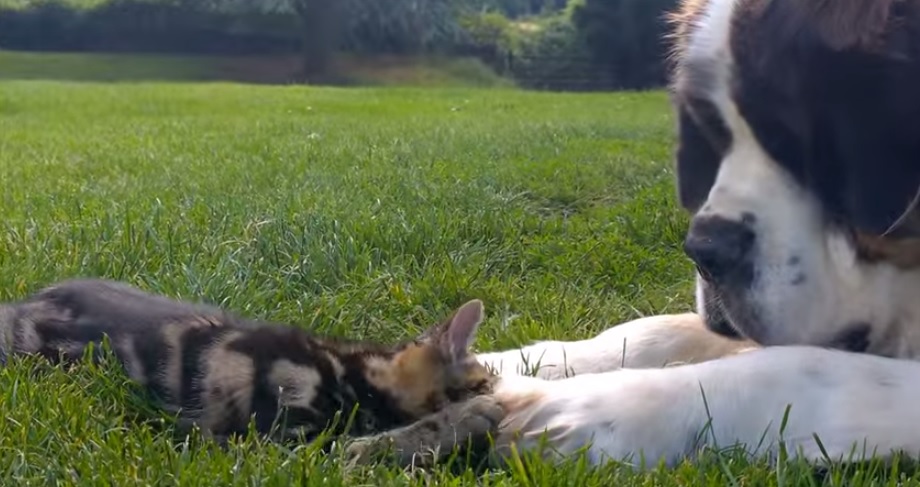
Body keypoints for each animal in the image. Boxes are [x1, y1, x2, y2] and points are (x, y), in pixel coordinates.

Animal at [0, 278, 504, 466]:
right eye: (486, 380)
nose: (497, 389)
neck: (347, 368)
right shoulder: (284, 443)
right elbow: (378, 442)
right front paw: (471, 417)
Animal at [482, 0, 920, 470]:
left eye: (797, 144)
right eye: (716, 135)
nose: (706, 251)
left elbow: (803, 369)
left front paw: (596, 404)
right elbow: (658, 329)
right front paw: (504, 364)